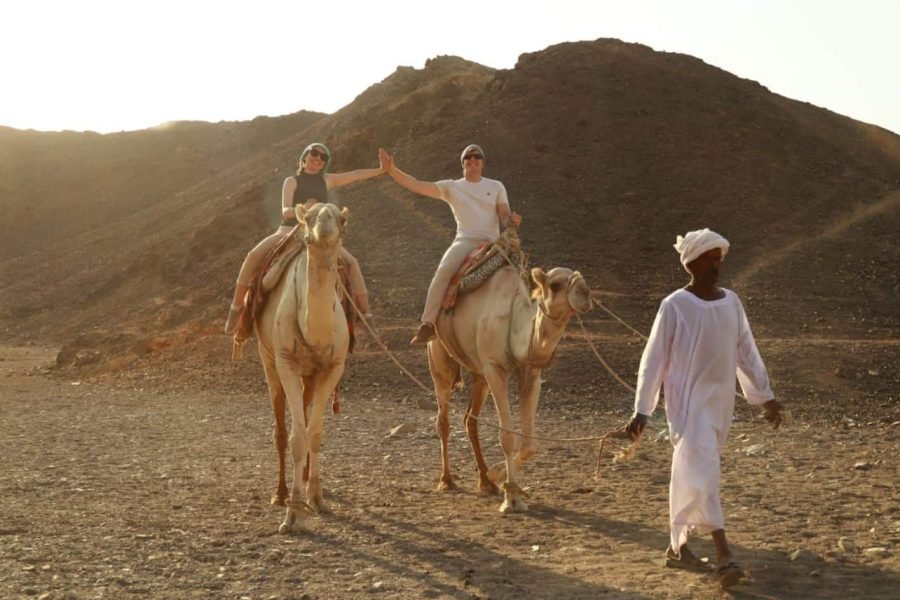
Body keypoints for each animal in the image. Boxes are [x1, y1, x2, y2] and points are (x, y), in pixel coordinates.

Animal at [254, 202, 350, 534]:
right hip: (268, 360)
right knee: (281, 430)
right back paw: (280, 493)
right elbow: (297, 438)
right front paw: (293, 511)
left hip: (310, 376)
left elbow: (316, 433)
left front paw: (317, 497)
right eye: (308, 217)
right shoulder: (286, 363)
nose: (323, 227)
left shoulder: (332, 368)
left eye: (341, 218)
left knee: (307, 418)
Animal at [428, 261, 593, 512]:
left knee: (470, 420)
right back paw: (447, 480)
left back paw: (485, 481)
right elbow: (507, 436)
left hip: (479, 374)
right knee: (443, 418)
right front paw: (511, 499)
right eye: (555, 284)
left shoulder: (531, 373)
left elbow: (529, 444)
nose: (586, 293)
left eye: (580, 277)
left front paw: (497, 475)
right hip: (440, 357)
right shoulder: (495, 368)